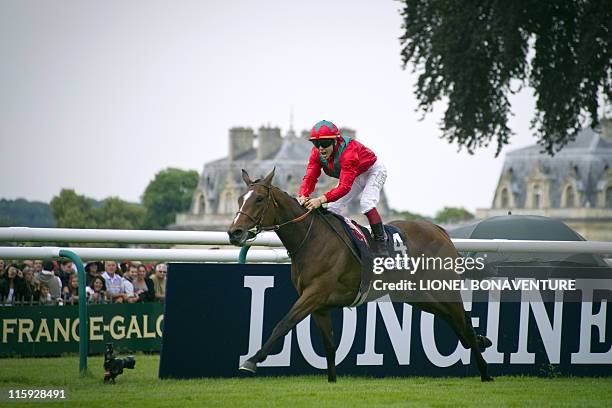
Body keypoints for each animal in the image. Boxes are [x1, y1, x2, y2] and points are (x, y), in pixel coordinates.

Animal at [227, 168, 494, 382]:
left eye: (259, 199)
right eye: (239, 199)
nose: (234, 232)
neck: (311, 239)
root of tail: (440, 230)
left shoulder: (314, 294)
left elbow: (283, 324)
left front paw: (251, 360)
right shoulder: (319, 304)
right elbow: (329, 344)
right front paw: (332, 382)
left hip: (444, 287)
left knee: (462, 321)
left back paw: (485, 372)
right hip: (415, 294)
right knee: (454, 320)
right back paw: (481, 343)